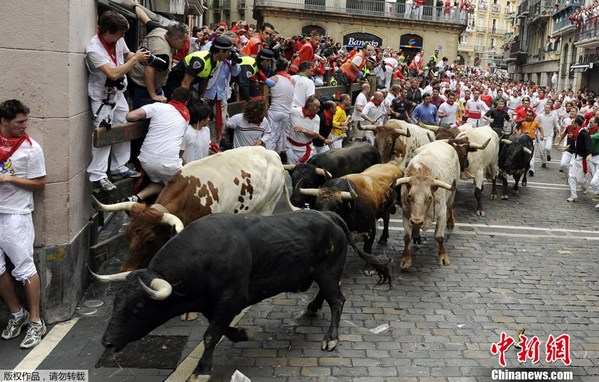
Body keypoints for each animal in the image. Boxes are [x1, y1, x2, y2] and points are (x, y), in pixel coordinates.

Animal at [92, 146, 298, 272]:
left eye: (150, 239)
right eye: (128, 235)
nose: (126, 270)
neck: (190, 197)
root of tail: (272, 154)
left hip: (268, 205)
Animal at [99, 210, 390, 380]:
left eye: (137, 307)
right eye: (115, 303)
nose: (107, 342)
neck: (204, 256)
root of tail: (331, 216)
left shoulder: (232, 299)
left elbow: (210, 335)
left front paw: (202, 370)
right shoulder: (212, 304)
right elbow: (220, 330)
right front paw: (243, 334)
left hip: (328, 269)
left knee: (337, 300)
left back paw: (331, 338)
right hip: (321, 272)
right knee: (326, 295)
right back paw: (311, 308)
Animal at [396, 140, 462, 268]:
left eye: (430, 197)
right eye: (409, 196)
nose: (417, 221)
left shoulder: (441, 214)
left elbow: (439, 237)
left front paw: (443, 256)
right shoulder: (406, 215)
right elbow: (407, 237)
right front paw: (406, 258)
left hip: (452, 193)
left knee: (451, 206)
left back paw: (451, 223)